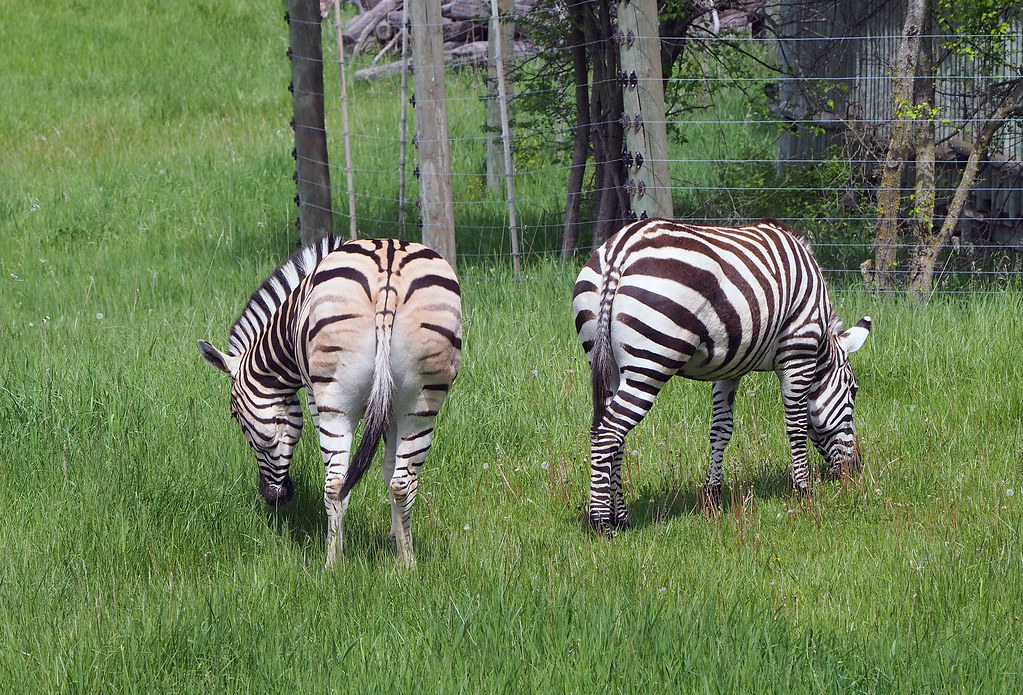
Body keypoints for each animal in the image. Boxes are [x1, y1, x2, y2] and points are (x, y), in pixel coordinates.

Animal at [198, 237, 462, 567]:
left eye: (235, 415)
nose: (275, 499)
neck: (286, 330)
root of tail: (388, 266)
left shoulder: (313, 395)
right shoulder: (391, 408)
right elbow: (389, 469)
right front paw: (396, 537)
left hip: (335, 400)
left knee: (336, 482)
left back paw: (332, 564)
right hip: (422, 400)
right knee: (404, 482)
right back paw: (407, 565)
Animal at [573, 218, 871, 534]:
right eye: (853, 390)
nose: (854, 471)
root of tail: (620, 249)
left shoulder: (730, 367)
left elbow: (721, 430)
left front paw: (712, 496)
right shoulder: (798, 351)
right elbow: (797, 425)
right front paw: (803, 490)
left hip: (607, 361)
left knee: (612, 434)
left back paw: (622, 518)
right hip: (650, 362)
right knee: (608, 431)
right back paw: (601, 523)